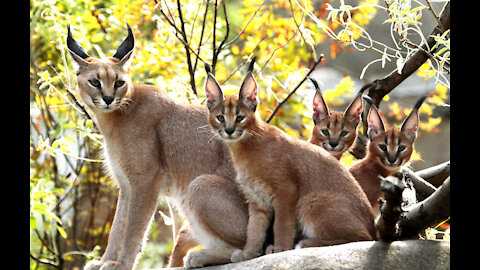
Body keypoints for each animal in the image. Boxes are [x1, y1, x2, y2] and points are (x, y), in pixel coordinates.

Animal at [68, 24, 251, 270]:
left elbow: (134, 227)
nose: (108, 98)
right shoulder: (126, 183)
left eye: (119, 83)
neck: (114, 117)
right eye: (95, 82)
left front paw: (122, 264)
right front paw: (105, 261)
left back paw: (200, 257)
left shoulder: (146, 179)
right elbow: (118, 225)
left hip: (200, 185)